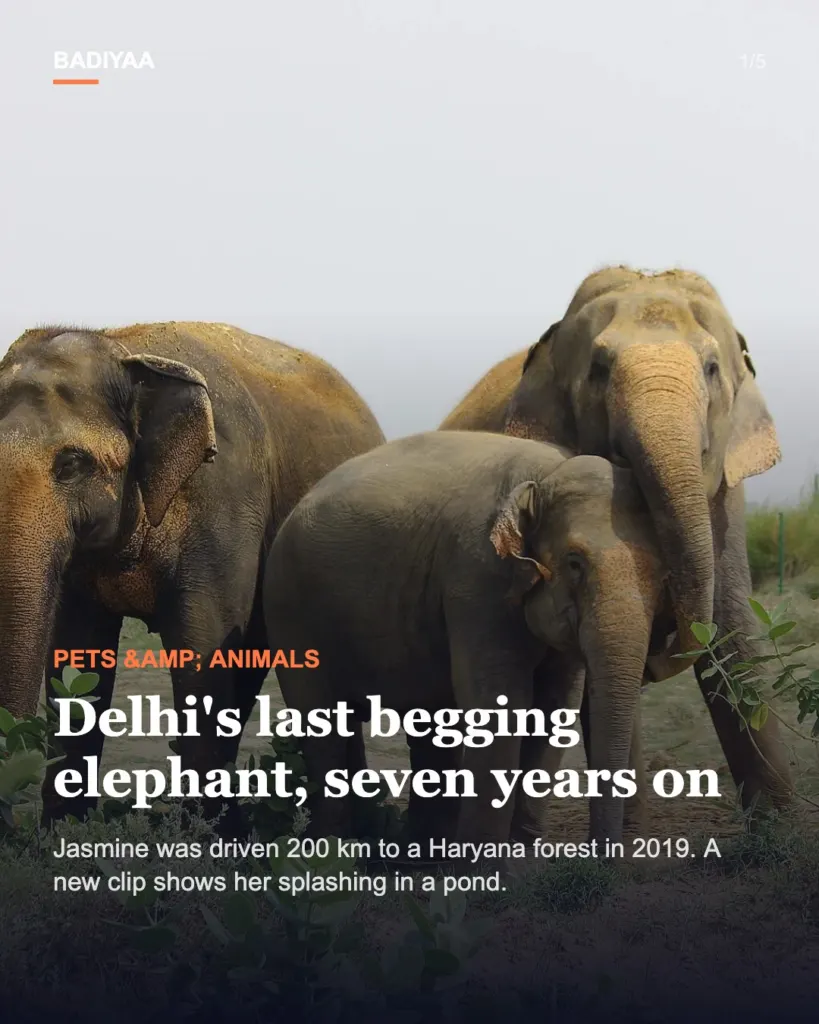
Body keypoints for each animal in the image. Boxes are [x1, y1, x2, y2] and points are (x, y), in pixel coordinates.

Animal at [0, 321, 385, 822]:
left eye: (71, 465)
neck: (123, 348)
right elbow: (77, 650)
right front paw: (61, 831)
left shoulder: (224, 502)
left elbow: (202, 643)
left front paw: (206, 836)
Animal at [263, 430, 667, 846]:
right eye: (574, 563)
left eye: (662, 574)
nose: (603, 856)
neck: (545, 474)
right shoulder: (477, 577)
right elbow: (499, 704)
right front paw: (485, 862)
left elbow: (553, 708)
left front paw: (520, 858)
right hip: (288, 610)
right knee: (321, 723)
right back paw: (332, 846)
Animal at [441, 265, 792, 814]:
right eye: (600, 369)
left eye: (712, 368)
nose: (661, 652)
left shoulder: (725, 496)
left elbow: (732, 624)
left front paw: (781, 824)